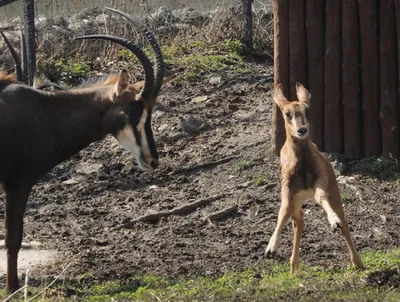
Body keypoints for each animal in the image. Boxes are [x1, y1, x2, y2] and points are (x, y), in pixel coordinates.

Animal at [0, 7, 165, 292]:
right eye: (134, 112)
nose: (152, 160)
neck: (44, 111)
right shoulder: (17, 184)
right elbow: (13, 237)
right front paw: (12, 288)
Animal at [266, 82, 366, 272]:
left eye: (307, 111)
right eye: (287, 113)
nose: (302, 130)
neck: (301, 160)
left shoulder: (319, 178)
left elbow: (320, 197)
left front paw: (334, 222)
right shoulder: (287, 185)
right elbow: (283, 209)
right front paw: (271, 248)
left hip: (333, 191)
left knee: (343, 222)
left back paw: (358, 262)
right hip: (298, 200)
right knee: (298, 219)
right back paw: (293, 266)